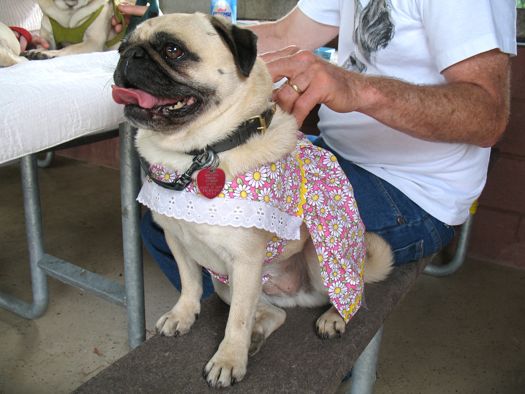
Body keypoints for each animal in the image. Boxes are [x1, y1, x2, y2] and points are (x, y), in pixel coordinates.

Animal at [111, 12, 392, 388]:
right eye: (121, 49)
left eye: (173, 50)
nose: (130, 56)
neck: (199, 154)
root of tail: (293, 294)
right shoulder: (177, 240)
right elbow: (189, 283)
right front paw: (183, 314)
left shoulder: (245, 260)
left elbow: (237, 323)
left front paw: (229, 359)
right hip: (225, 285)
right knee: (273, 314)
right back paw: (258, 335)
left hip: (316, 261)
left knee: (349, 291)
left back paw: (333, 318)